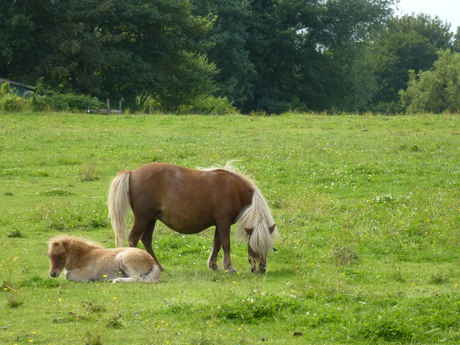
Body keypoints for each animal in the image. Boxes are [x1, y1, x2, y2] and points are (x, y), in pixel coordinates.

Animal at [109, 161, 278, 272]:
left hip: (151, 219)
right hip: (143, 217)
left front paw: (213, 265)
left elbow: (217, 243)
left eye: (268, 248)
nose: (259, 270)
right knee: (134, 238)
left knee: (146, 240)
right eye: (253, 247)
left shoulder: (218, 223)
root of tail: (132, 172)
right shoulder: (224, 222)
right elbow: (225, 243)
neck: (235, 190)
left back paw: (158, 266)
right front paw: (229, 267)